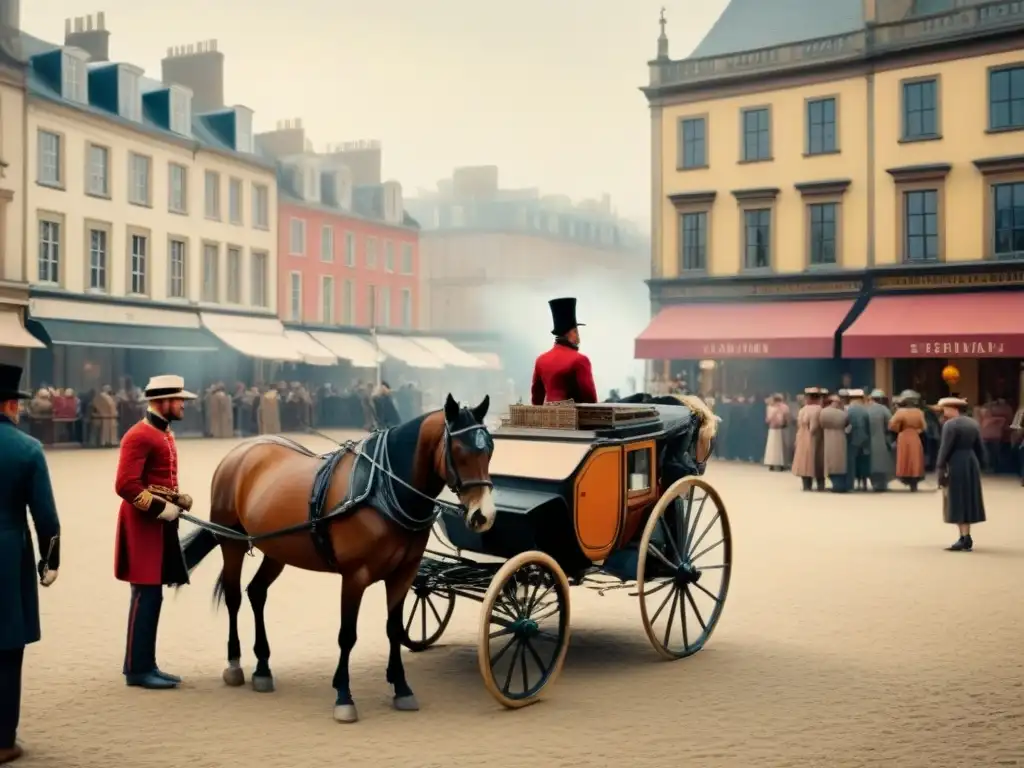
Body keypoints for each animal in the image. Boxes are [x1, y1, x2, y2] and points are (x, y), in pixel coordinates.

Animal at [182, 393, 497, 724]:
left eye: (489, 448)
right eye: (459, 451)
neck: (382, 490)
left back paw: (263, 668)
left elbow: (394, 629)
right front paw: (344, 695)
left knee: (256, 592)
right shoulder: (355, 576)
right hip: (231, 542)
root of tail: (240, 452)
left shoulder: (404, 573)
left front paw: (401, 687)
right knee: (234, 597)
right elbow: (347, 635)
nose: (483, 515)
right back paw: (234, 663)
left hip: (277, 548)